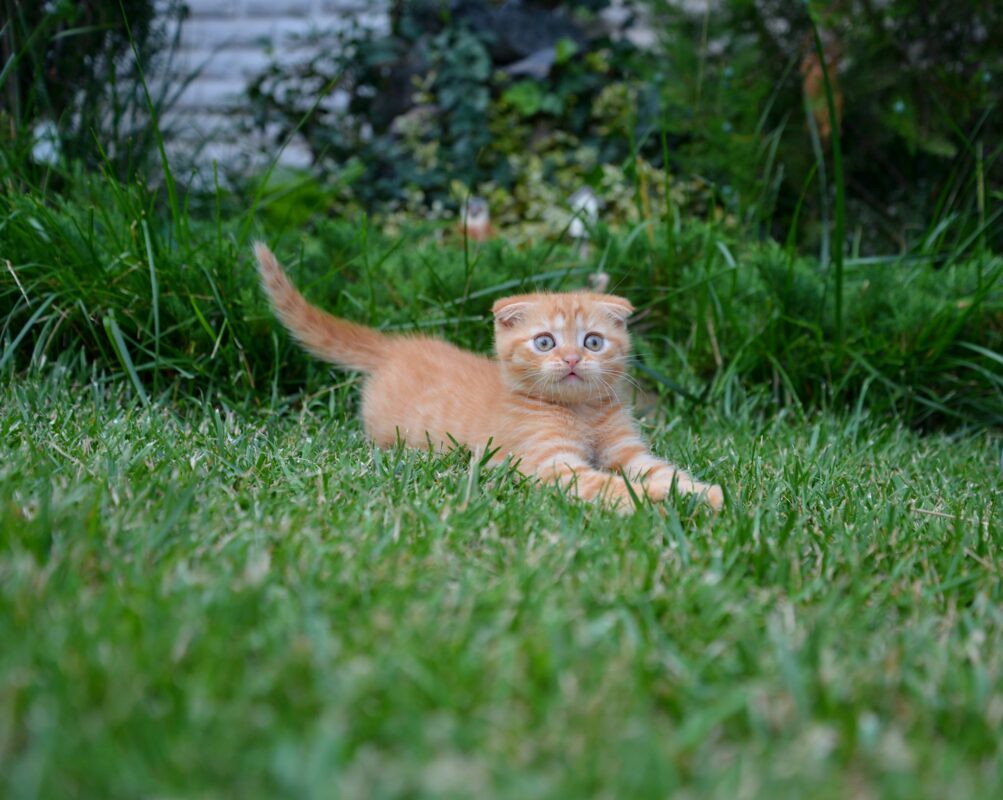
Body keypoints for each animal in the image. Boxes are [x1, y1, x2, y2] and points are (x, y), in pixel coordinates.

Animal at [250, 241, 722, 513]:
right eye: (545, 342)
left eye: (592, 342)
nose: (571, 359)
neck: (582, 413)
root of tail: (397, 345)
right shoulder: (550, 465)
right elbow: (607, 483)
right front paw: (653, 500)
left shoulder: (628, 452)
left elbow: (659, 470)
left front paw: (701, 493)